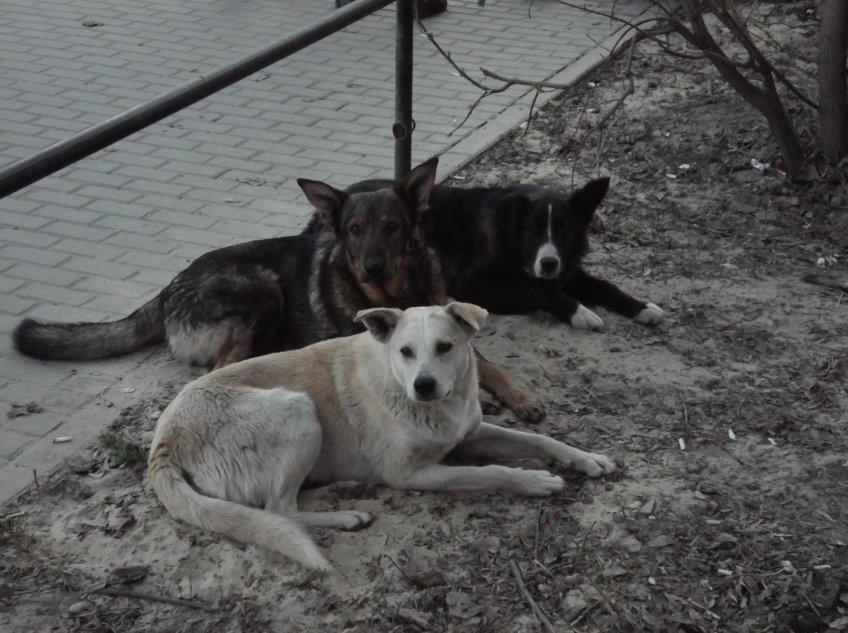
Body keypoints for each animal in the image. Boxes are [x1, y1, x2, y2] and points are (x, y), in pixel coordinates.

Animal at [147, 302, 616, 572]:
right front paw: (535, 481)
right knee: (279, 509)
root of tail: (163, 442)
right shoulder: (409, 474)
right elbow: (493, 473)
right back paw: (347, 516)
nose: (423, 386)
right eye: (405, 352)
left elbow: (541, 441)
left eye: (445, 347)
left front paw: (585, 457)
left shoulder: (470, 433)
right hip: (298, 411)